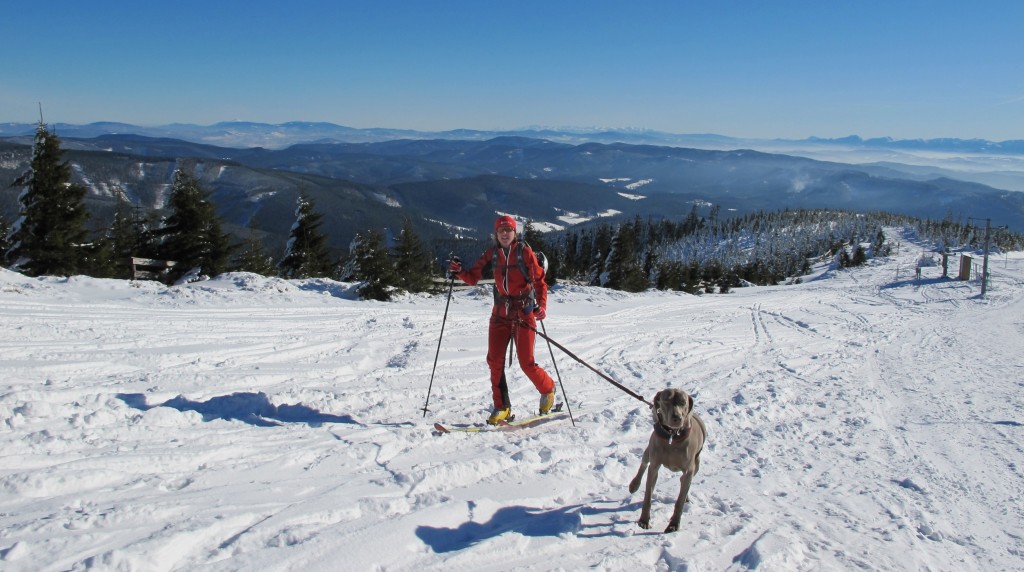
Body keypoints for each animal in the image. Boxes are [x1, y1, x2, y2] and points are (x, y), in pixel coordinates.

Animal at [626, 386, 708, 536]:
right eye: (666, 401)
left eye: (683, 402)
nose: (677, 418)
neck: (672, 436)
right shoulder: (654, 466)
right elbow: (648, 495)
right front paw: (643, 521)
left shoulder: (689, 469)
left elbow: (679, 501)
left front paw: (673, 525)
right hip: (649, 451)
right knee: (644, 463)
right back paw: (634, 484)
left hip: (697, 462)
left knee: (684, 480)